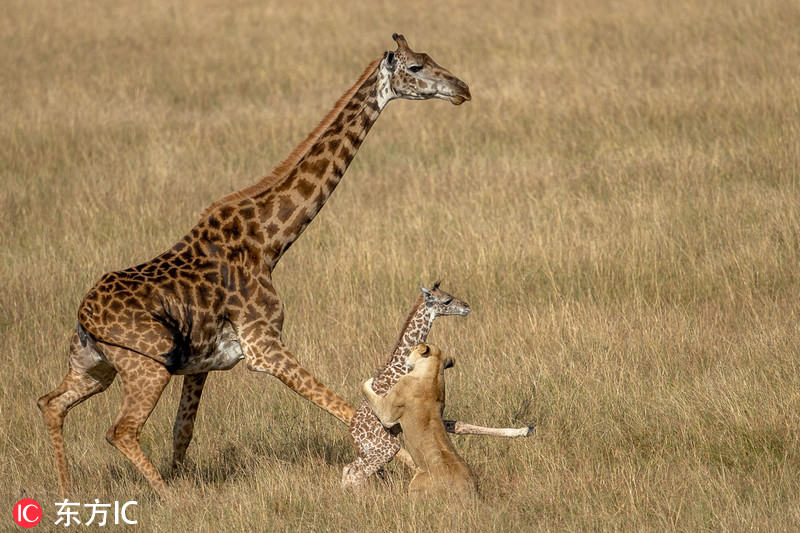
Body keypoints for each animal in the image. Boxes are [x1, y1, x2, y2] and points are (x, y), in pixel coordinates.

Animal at [360, 342, 476, 496]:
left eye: (413, 349)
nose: (406, 354)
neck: (433, 373)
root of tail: (465, 488)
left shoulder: (387, 413)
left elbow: (366, 390)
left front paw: (370, 379)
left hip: (416, 483)